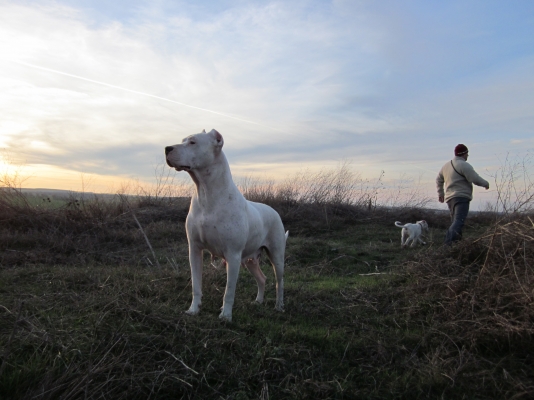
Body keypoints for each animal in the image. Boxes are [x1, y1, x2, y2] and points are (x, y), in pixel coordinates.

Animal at [165, 130, 288, 324]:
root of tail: (273, 211)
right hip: (251, 260)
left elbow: (229, 291)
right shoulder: (195, 250)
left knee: (279, 282)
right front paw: (193, 310)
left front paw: (226, 316)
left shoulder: (233, 255)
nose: (167, 148)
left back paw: (279, 306)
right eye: (183, 140)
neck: (207, 194)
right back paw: (258, 301)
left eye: (192, 142)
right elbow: (196, 285)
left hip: (276, 256)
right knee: (262, 278)